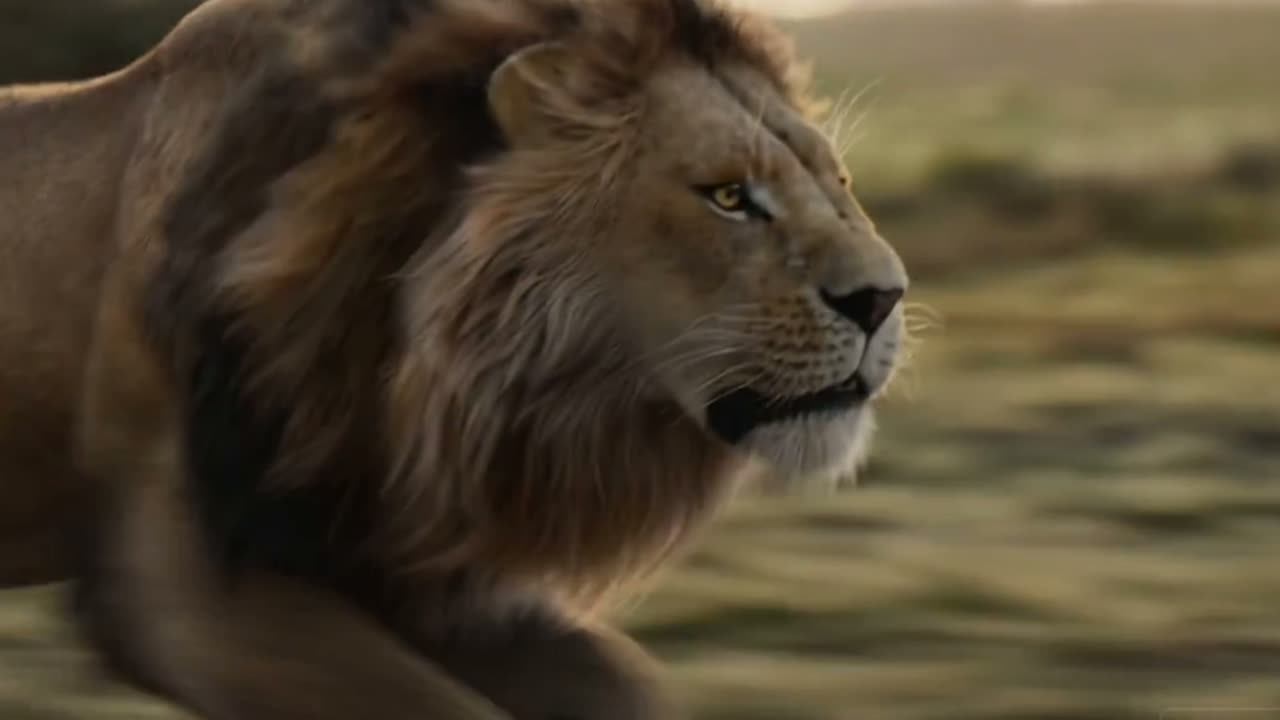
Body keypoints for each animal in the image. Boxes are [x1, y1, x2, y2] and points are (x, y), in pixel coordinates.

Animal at [0, 0, 909, 718]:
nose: (884, 297)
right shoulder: (180, 582)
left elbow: (625, 685)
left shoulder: (405, 569)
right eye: (726, 196)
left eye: (838, 182)